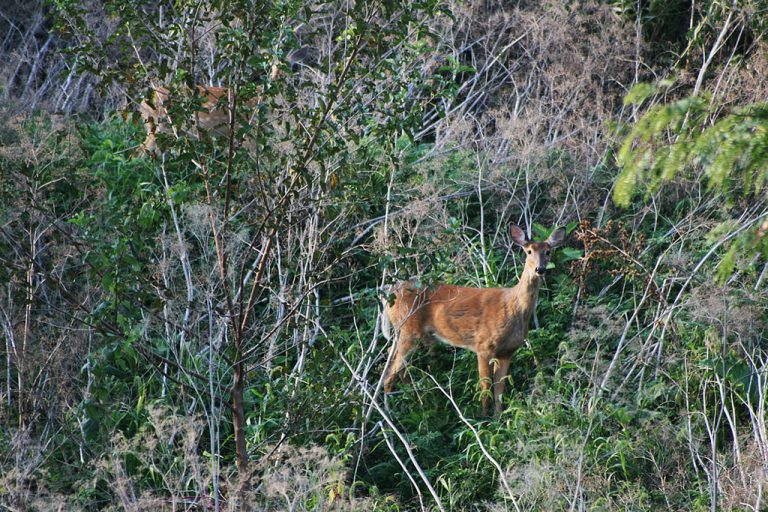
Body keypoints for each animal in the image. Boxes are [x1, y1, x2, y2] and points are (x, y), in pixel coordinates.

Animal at [380, 225, 568, 416]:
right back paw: (391, 411)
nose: (540, 269)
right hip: (408, 329)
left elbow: (499, 390)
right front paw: (483, 417)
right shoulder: (483, 345)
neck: (513, 308)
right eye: (529, 251)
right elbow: (485, 387)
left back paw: (414, 402)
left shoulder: (507, 351)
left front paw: (498, 417)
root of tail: (390, 292)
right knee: (389, 373)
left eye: (548, 251)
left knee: (397, 364)